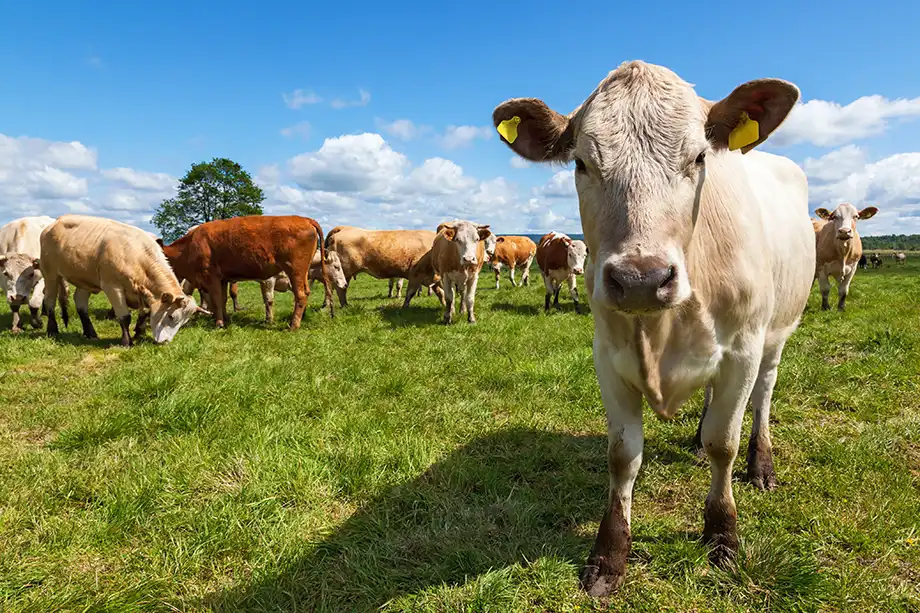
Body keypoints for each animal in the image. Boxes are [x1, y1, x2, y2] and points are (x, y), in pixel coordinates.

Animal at [38, 215, 205, 346]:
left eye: (183, 322)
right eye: (171, 316)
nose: (165, 342)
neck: (137, 255)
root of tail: (53, 224)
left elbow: (145, 313)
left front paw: (139, 332)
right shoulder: (112, 287)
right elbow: (125, 317)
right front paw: (127, 341)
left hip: (85, 280)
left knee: (80, 303)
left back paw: (90, 333)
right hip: (50, 274)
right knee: (50, 301)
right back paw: (52, 330)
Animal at [160, 215, 331, 330]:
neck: (190, 246)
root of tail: (305, 219)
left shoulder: (211, 277)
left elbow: (216, 299)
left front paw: (219, 323)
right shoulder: (222, 279)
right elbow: (222, 299)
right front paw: (226, 319)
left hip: (295, 270)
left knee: (300, 295)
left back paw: (293, 325)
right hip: (302, 273)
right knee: (306, 293)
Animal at [494, 60, 814, 595]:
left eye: (700, 157)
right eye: (581, 163)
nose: (641, 280)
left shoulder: (742, 350)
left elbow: (724, 443)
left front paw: (722, 535)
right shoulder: (608, 356)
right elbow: (622, 455)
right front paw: (609, 556)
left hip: (777, 334)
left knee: (762, 398)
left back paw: (761, 464)